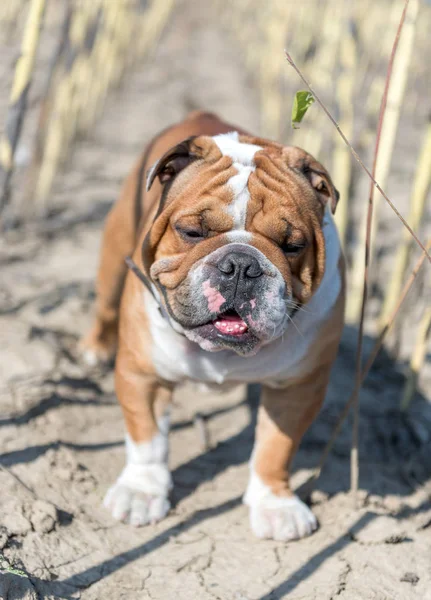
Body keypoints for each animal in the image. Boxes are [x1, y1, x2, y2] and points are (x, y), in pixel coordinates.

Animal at [80, 110, 344, 540]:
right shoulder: (143, 373)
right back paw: (94, 349)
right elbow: (147, 437)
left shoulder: (298, 387)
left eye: (293, 245)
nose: (241, 265)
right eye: (191, 232)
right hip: (114, 253)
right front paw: (141, 491)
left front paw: (276, 505)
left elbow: (276, 448)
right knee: (104, 305)